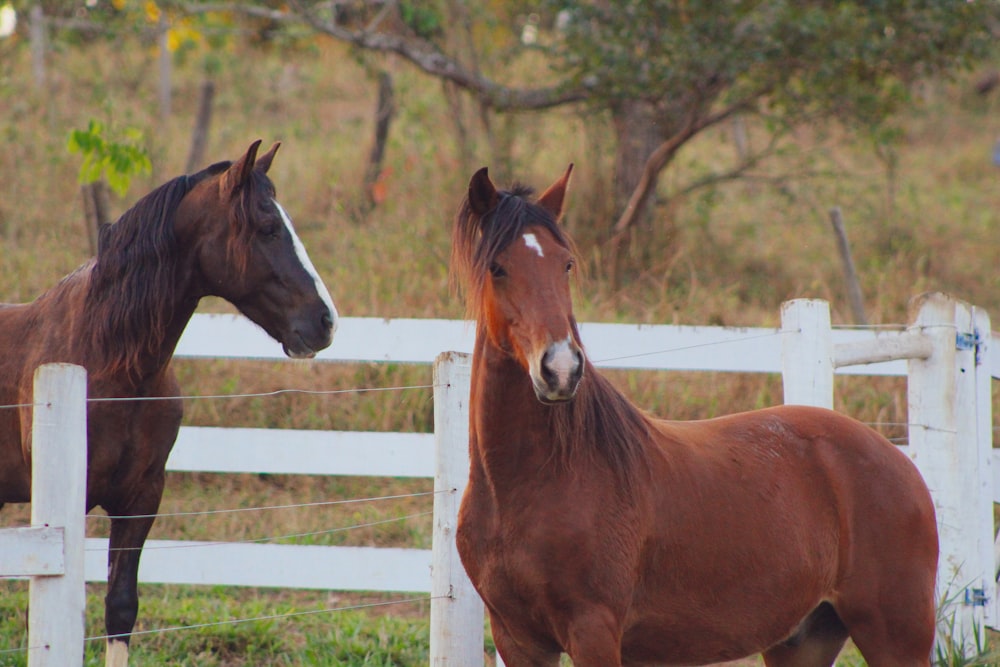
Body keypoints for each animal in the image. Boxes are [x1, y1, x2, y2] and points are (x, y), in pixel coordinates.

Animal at [450, 164, 940, 664]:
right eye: (497, 267)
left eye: (565, 264)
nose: (561, 369)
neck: (536, 482)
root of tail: (898, 459)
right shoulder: (518, 640)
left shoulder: (593, 631)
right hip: (804, 639)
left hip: (893, 636)